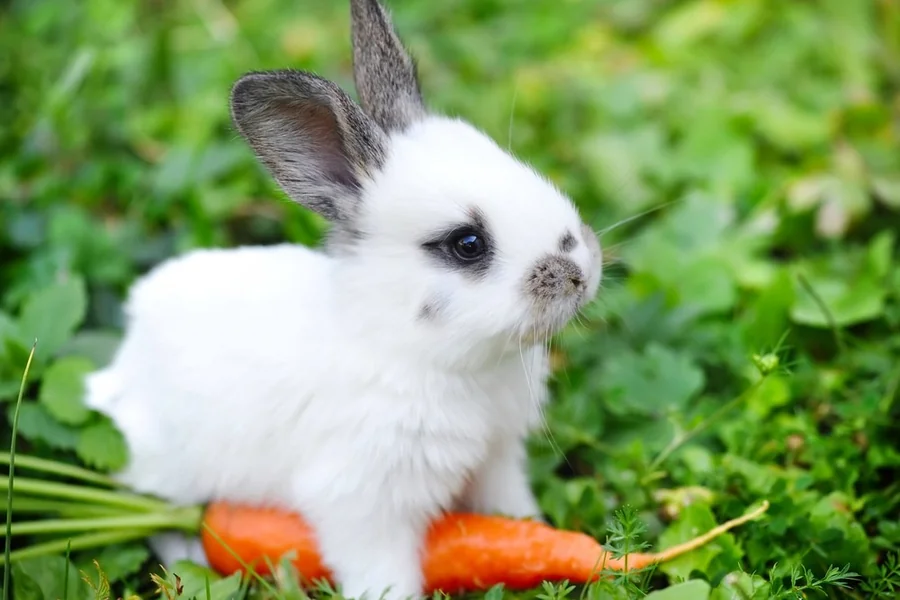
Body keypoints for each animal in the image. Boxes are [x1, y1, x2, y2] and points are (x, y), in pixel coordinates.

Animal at [83, 0, 603, 598]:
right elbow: (382, 572)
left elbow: (510, 514)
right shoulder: (363, 502)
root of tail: (121, 369)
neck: (427, 355)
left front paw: (538, 536)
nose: (581, 271)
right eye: (467, 243)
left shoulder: (496, 460)